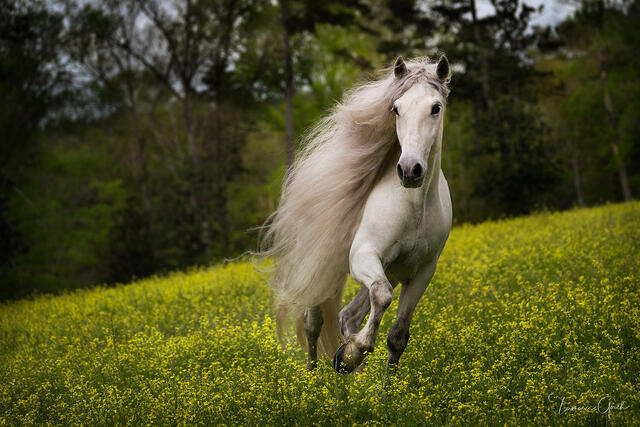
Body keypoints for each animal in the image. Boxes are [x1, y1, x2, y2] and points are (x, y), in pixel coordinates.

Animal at [260, 55, 452, 373]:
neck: (416, 205)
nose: (410, 170)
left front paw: (375, 375)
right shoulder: (363, 255)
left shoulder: (422, 271)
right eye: (396, 108)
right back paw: (314, 376)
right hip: (323, 269)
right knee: (314, 323)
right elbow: (381, 296)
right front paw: (352, 353)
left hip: (390, 270)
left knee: (348, 315)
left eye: (435, 107)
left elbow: (397, 335)